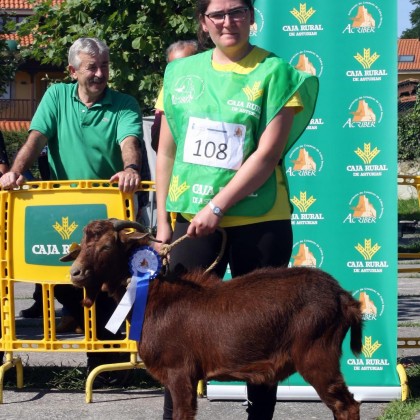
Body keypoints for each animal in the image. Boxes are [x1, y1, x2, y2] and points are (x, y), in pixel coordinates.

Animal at [62, 220, 364, 420]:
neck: (154, 295)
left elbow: (182, 414)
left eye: (106, 246)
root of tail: (342, 296)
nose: (75, 273)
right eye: (82, 245)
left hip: (317, 352)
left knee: (346, 405)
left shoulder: (179, 370)